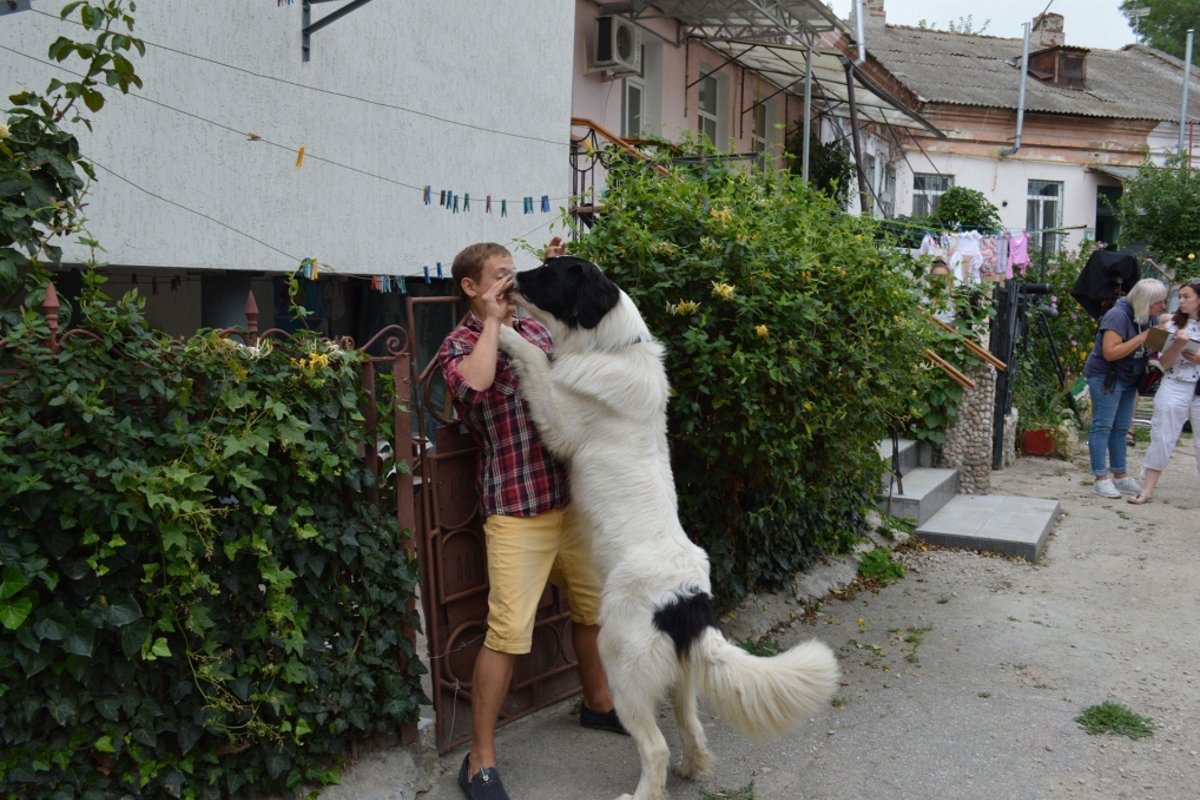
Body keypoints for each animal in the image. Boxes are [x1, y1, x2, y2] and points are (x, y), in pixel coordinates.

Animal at [501, 257, 840, 800]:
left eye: (551, 271)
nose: (513, 277)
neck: (610, 346)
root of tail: (689, 602)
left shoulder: (560, 422)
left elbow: (535, 360)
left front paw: (500, 334)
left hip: (619, 660)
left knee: (655, 745)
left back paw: (645, 791)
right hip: (678, 673)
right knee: (691, 724)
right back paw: (692, 767)